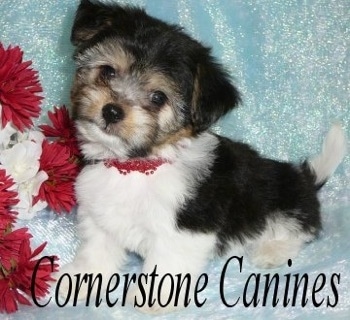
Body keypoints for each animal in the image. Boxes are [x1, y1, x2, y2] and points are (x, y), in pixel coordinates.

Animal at [60, 0, 348, 314]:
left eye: (158, 97)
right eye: (108, 72)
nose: (111, 110)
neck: (137, 165)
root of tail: (304, 179)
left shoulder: (186, 227)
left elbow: (168, 261)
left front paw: (154, 299)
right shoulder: (99, 216)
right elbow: (96, 252)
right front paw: (80, 282)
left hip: (282, 202)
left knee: (300, 230)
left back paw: (272, 250)